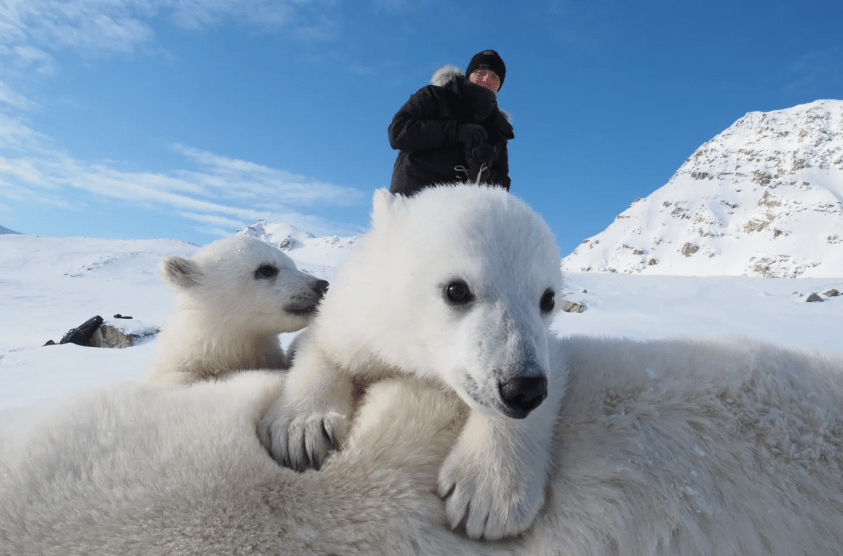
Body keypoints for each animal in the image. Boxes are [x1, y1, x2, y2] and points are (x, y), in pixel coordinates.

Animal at [258, 185, 566, 540]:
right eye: (456, 289)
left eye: (548, 298)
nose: (522, 388)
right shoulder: (360, 320)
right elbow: (324, 347)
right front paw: (300, 432)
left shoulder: (546, 346)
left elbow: (554, 370)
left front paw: (490, 496)